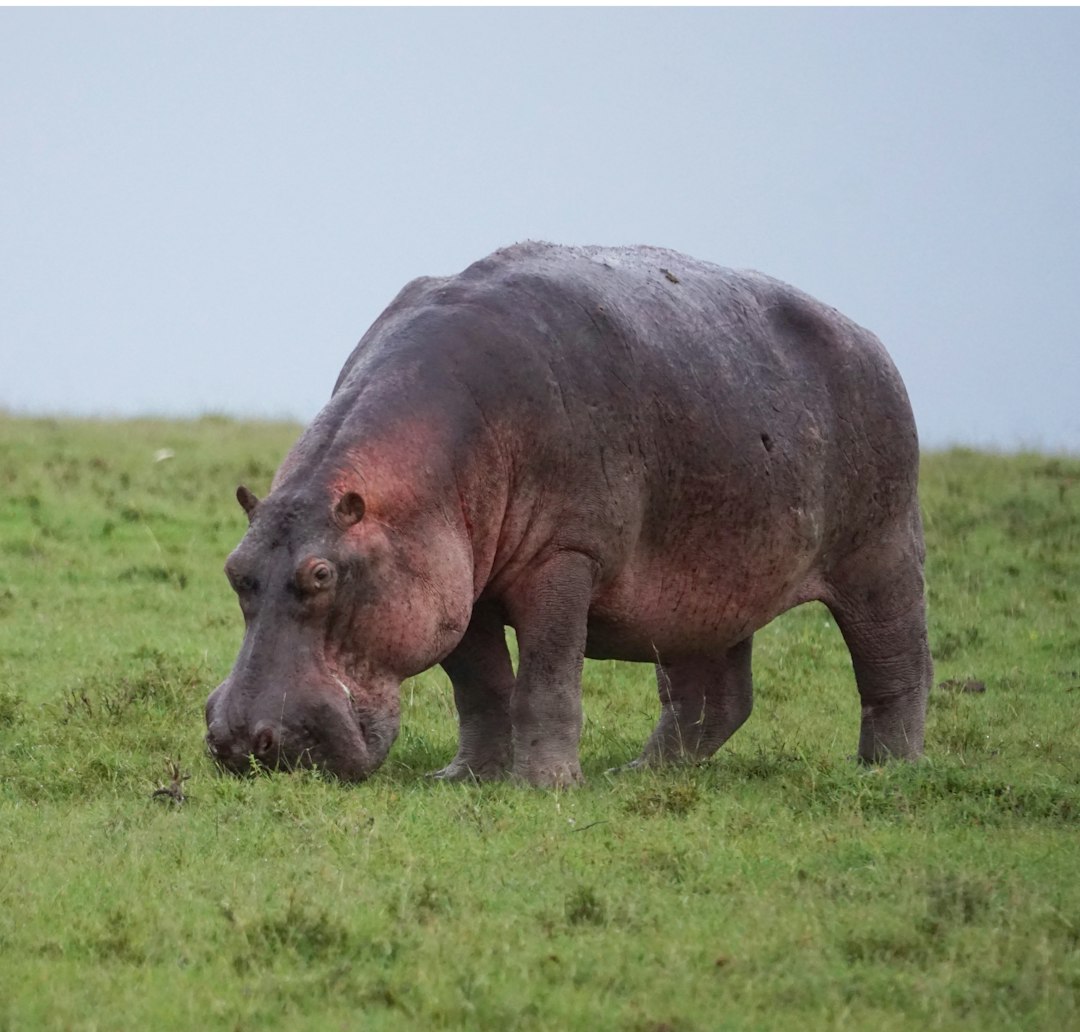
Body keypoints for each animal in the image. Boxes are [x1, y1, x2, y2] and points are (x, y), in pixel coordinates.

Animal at [205, 242, 932, 787]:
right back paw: (638, 775)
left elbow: (547, 676)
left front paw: (543, 785)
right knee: (712, 696)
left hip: (880, 551)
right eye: (235, 570)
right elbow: (480, 685)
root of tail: (867, 338)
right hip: (708, 586)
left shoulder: (563, 556)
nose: (241, 740)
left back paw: (885, 770)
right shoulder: (456, 575)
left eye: (321, 575)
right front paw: (466, 777)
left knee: (896, 663)